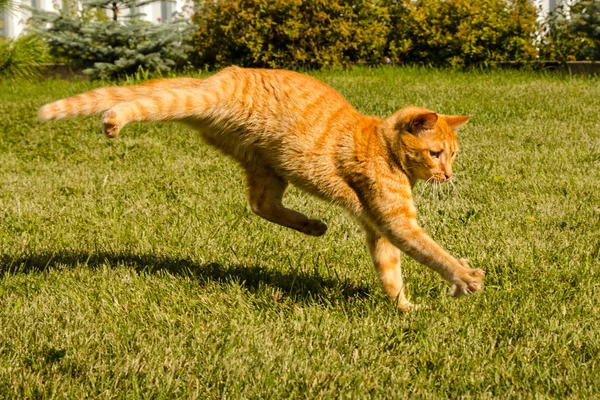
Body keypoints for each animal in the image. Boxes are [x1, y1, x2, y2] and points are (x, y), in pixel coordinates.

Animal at [38, 66, 482, 310]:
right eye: (436, 153)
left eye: (453, 155)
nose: (448, 176)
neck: (381, 145)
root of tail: (222, 74)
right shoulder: (396, 221)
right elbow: (431, 251)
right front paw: (464, 277)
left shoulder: (378, 226)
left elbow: (390, 271)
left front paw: (404, 307)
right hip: (195, 104)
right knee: (146, 102)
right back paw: (114, 118)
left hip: (266, 168)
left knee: (260, 205)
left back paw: (312, 226)